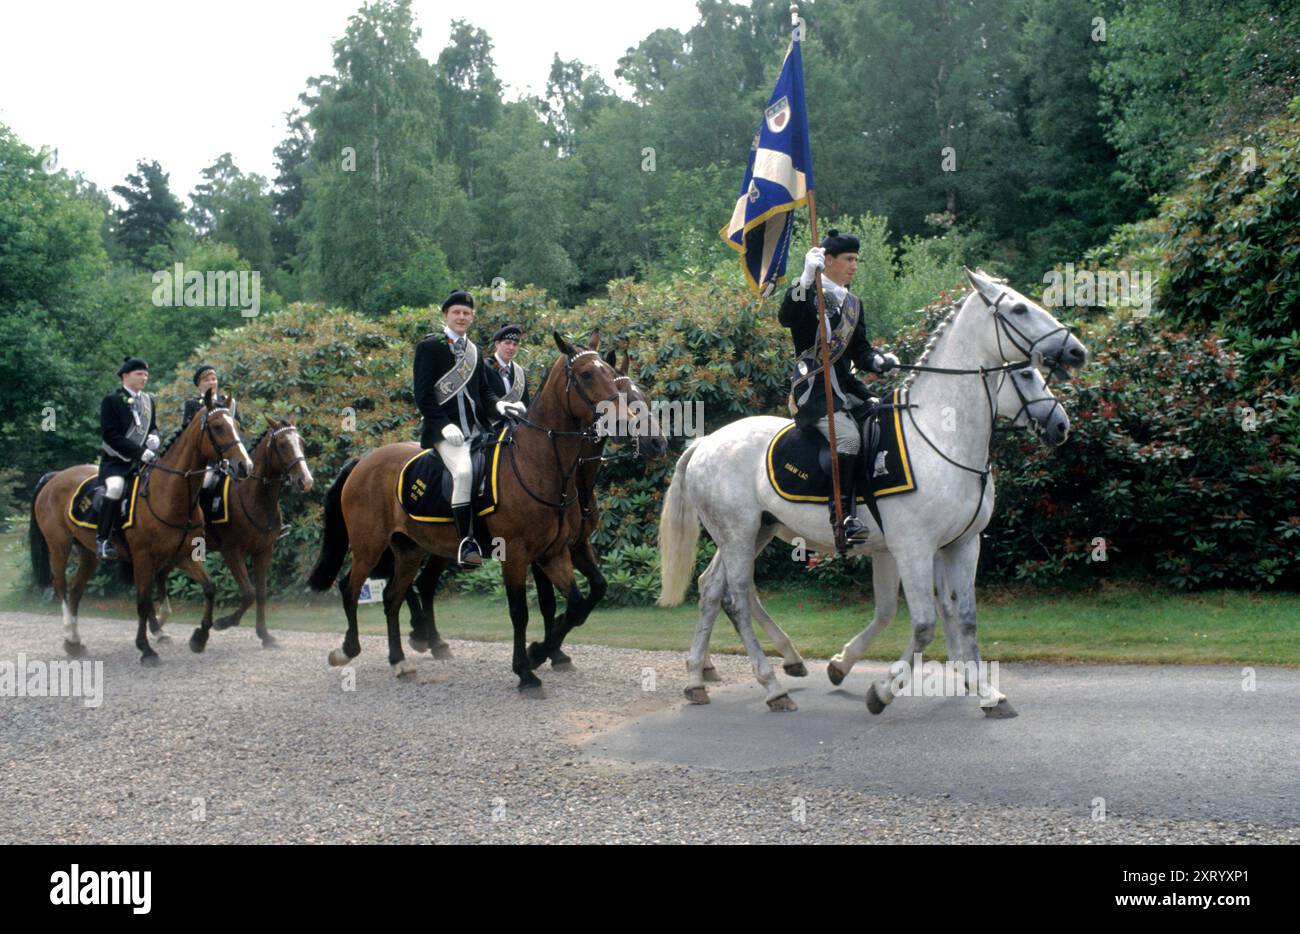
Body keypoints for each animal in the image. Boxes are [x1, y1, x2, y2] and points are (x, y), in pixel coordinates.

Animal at [29, 395, 252, 666]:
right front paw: (146, 649)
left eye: (237, 426)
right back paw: (70, 637)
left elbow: (209, 588)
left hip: (89, 553)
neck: (168, 492)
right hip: (59, 546)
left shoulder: (183, 556)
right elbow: (143, 602)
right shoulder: (143, 557)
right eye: (218, 427)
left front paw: (199, 638)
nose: (244, 466)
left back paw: (75, 642)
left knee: (75, 590)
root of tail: (55, 476)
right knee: (61, 586)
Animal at [309, 335, 624, 697]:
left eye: (610, 371)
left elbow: (575, 603)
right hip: (369, 545)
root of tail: (363, 461)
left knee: (393, 596)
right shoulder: (517, 554)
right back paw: (348, 650)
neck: (539, 463)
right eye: (586, 374)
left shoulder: (554, 552)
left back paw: (400, 660)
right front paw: (526, 671)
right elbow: (520, 611)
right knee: (350, 587)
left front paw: (539, 653)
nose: (621, 418)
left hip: (409, 549)